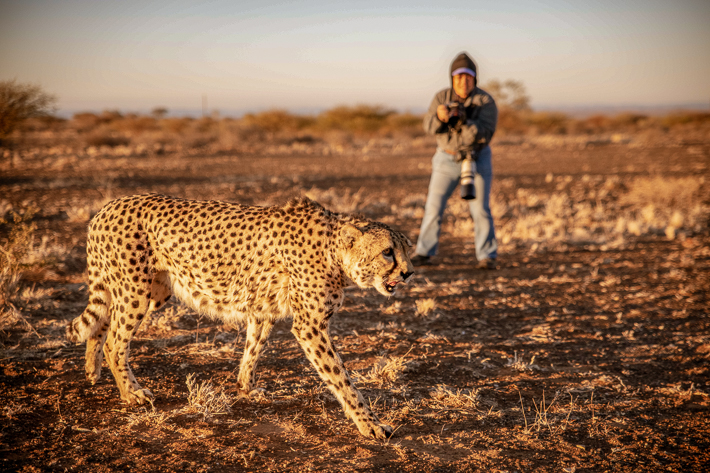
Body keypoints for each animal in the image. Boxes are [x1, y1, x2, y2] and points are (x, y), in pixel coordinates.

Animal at [67, 193, 414, 438]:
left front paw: (247, 387)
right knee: (115, 342)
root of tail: (107, 207)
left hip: (151, 290)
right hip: (136, 291)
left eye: (408, 250)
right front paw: (371, 424)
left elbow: (253, 348)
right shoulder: (310, 326)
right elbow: (341, 378)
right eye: (387, 252)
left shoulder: (264, 309)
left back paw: (92, 370)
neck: (335, 250)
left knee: (103, 323)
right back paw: (131, 393)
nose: (409, 273)